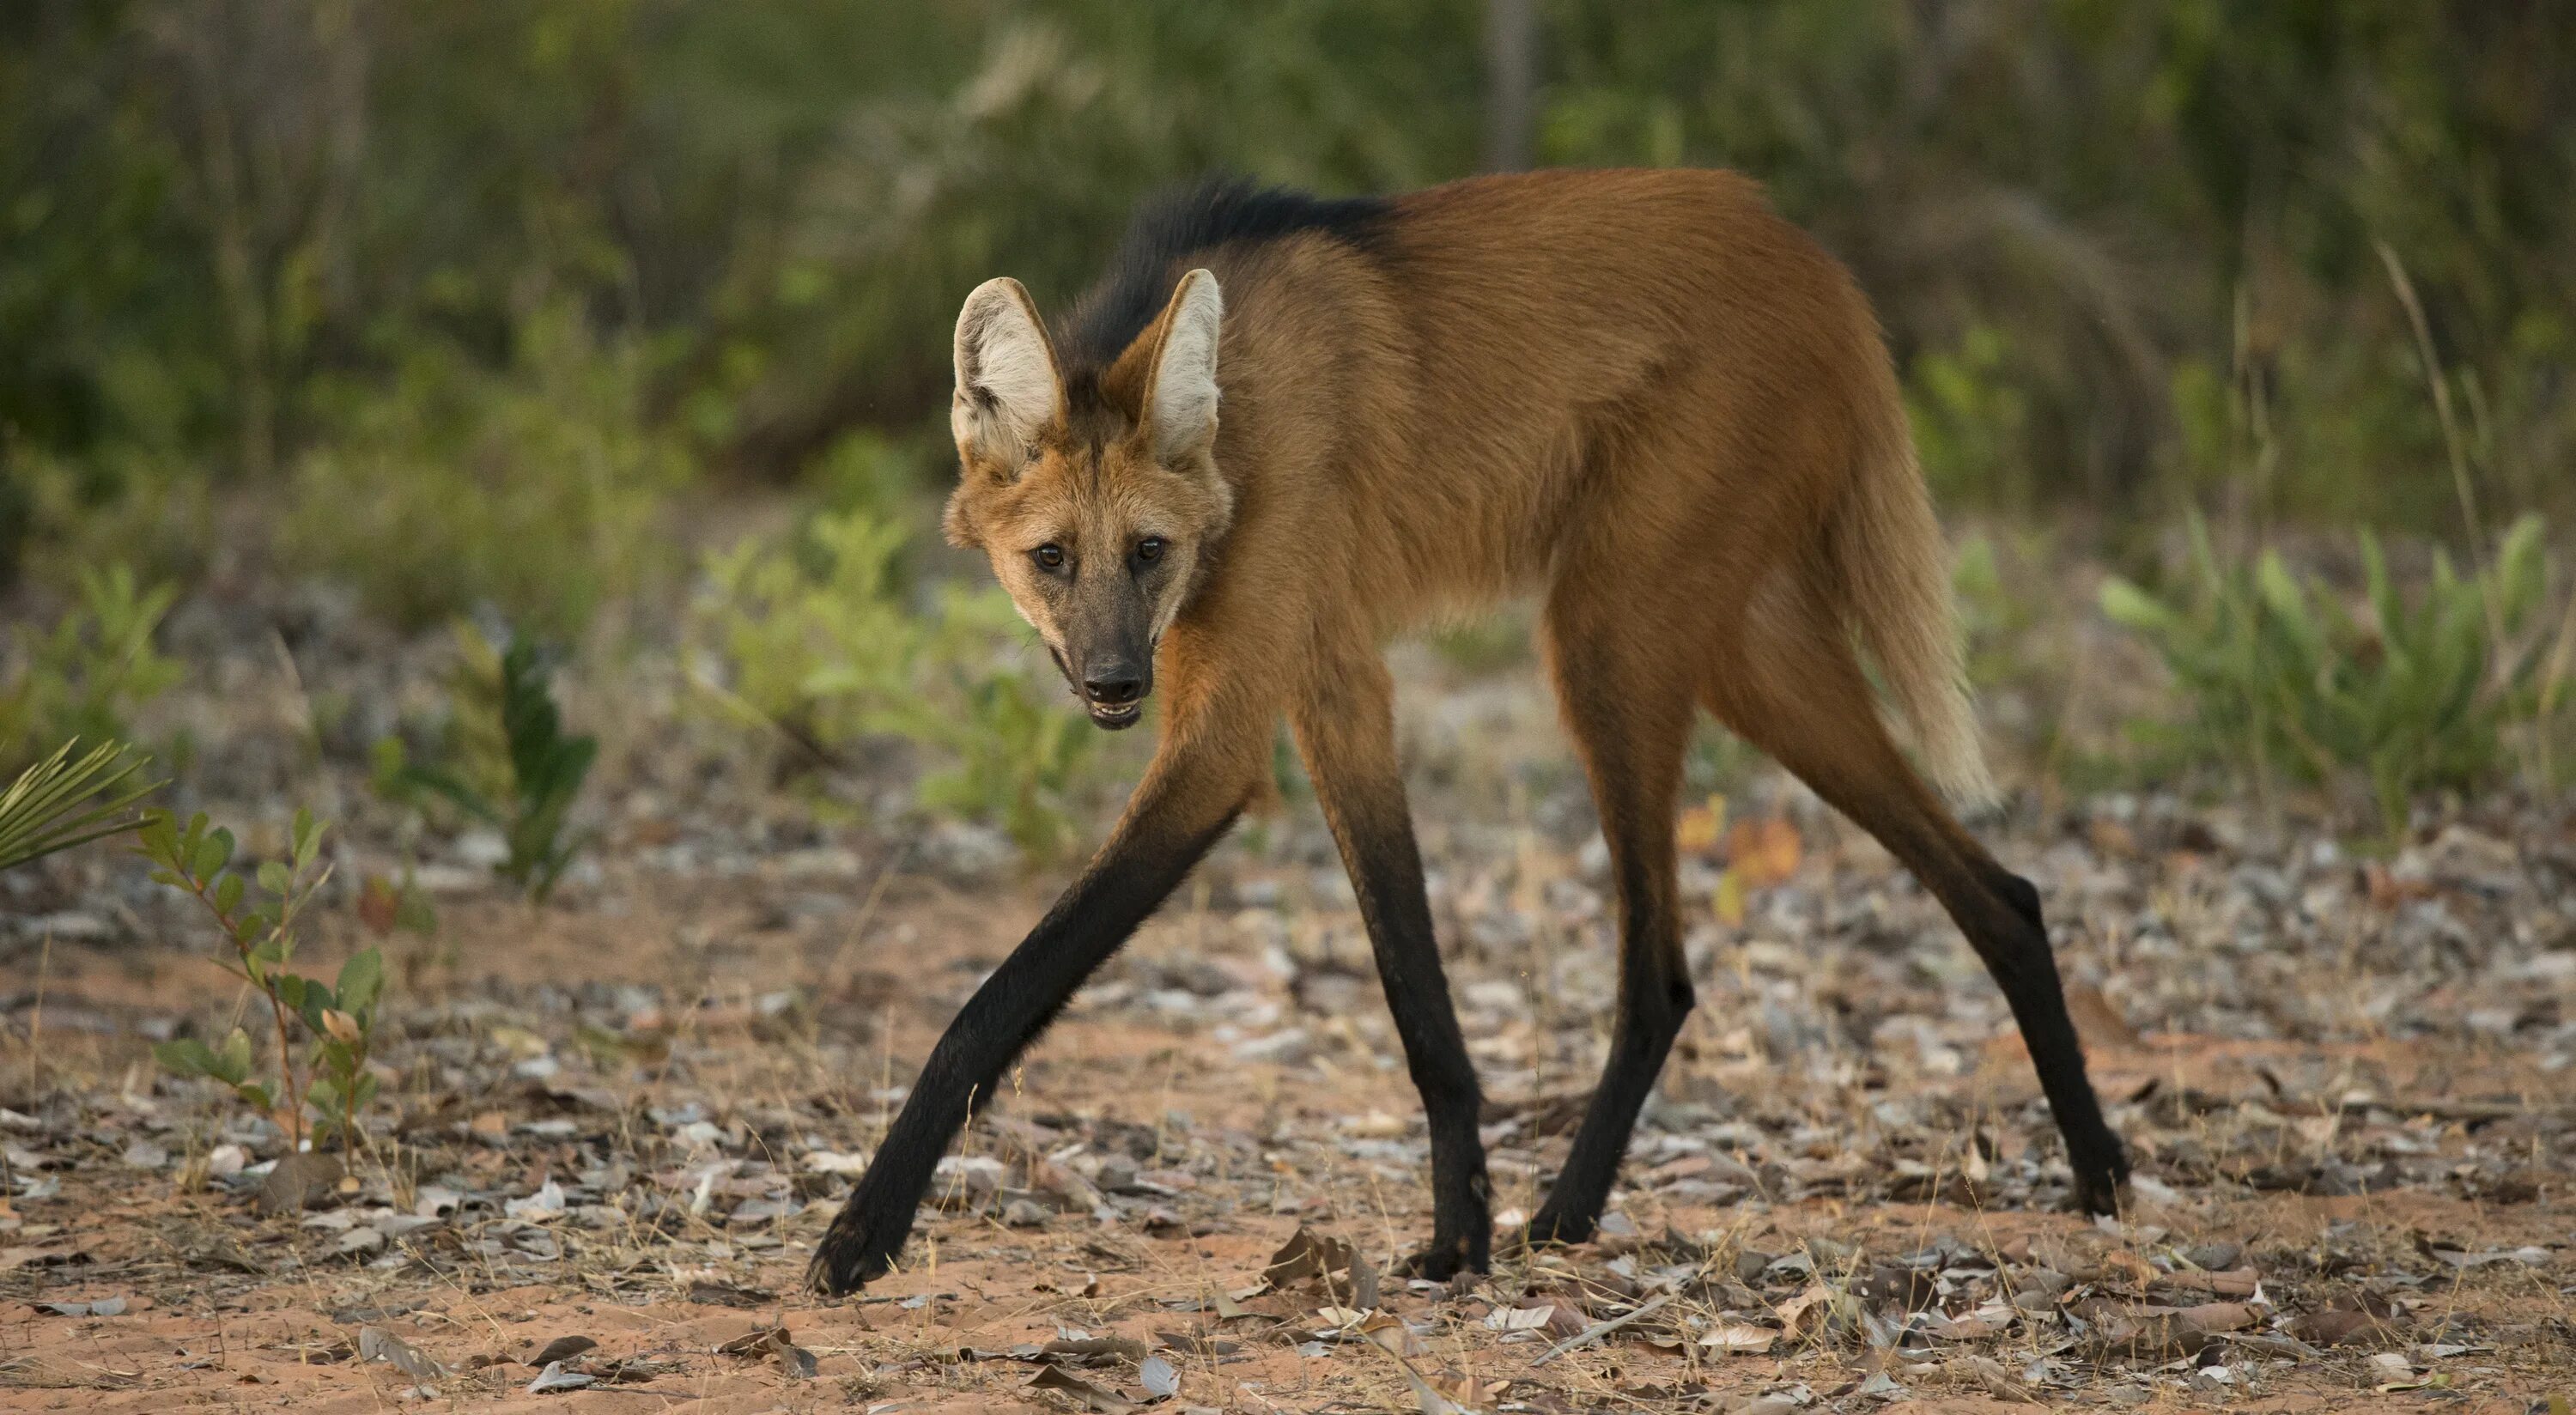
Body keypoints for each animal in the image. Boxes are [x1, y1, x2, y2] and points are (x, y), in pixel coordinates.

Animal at [809, 168, 2133, 1288]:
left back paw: (1569, 1214)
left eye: (1147, 553)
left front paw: (862, 1233)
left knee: (1659, 974)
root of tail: (1814, 259)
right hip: (1743, 652)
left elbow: (995, 998)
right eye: (1052, 559)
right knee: (2001, 893)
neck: (1239, 422)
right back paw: (2101, 1171)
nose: (1115, 680)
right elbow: (1418, 990)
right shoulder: (1336, 684)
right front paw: (1460, 1232)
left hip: (1606, 636)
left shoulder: (1231, 731)